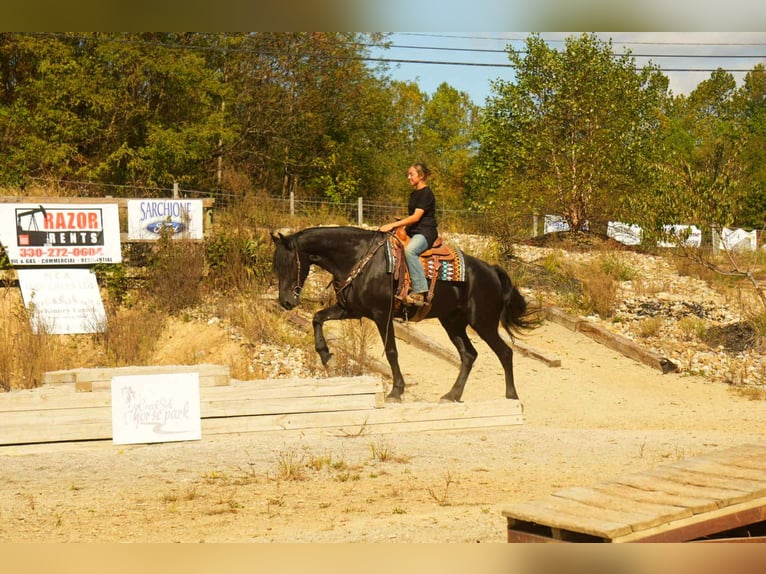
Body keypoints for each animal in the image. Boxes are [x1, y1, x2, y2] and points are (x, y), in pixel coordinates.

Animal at [271, 225, 534, 403]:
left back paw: (511, 396)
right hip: (453, 323)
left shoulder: (382, 315)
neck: (359, 257)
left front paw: (396, 391)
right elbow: (317, 318)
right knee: (469, 355)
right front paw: (326, 356)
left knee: (505, 352)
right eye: (276, 266)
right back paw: (452, 395)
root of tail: (492, 270)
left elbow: (391, 351)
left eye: (288, 264)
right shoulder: (351, 310)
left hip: (483, 323)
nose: (286, 302)